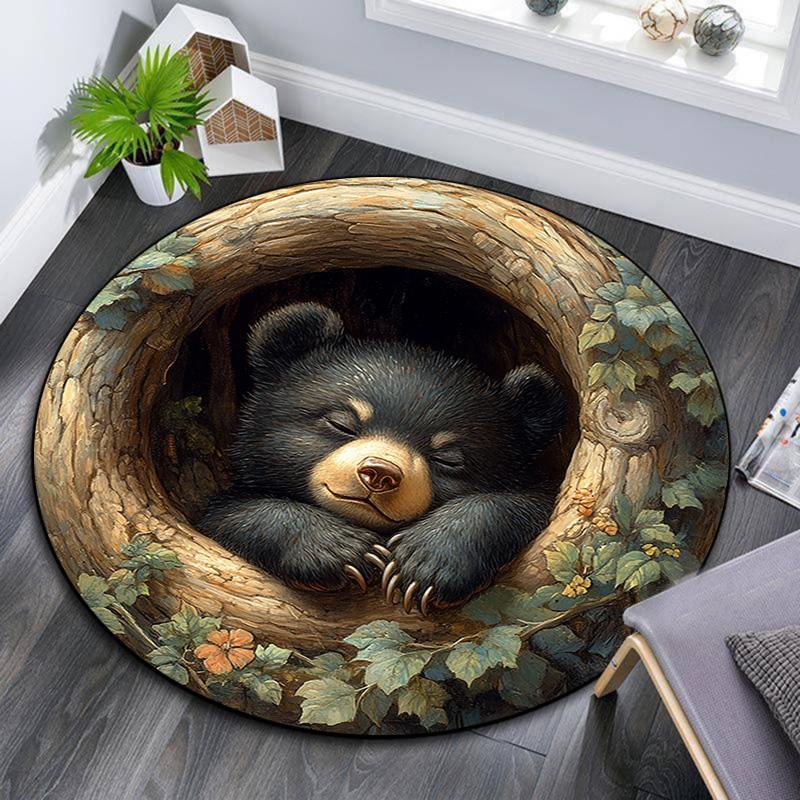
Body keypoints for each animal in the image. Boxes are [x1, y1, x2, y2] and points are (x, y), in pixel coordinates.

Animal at [200, 302, 566, 614]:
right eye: (342, 423)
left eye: (447, 458)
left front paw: (426, 563)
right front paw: (344, 550)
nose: (379, 473)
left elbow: (522, 504)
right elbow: (229, 515)